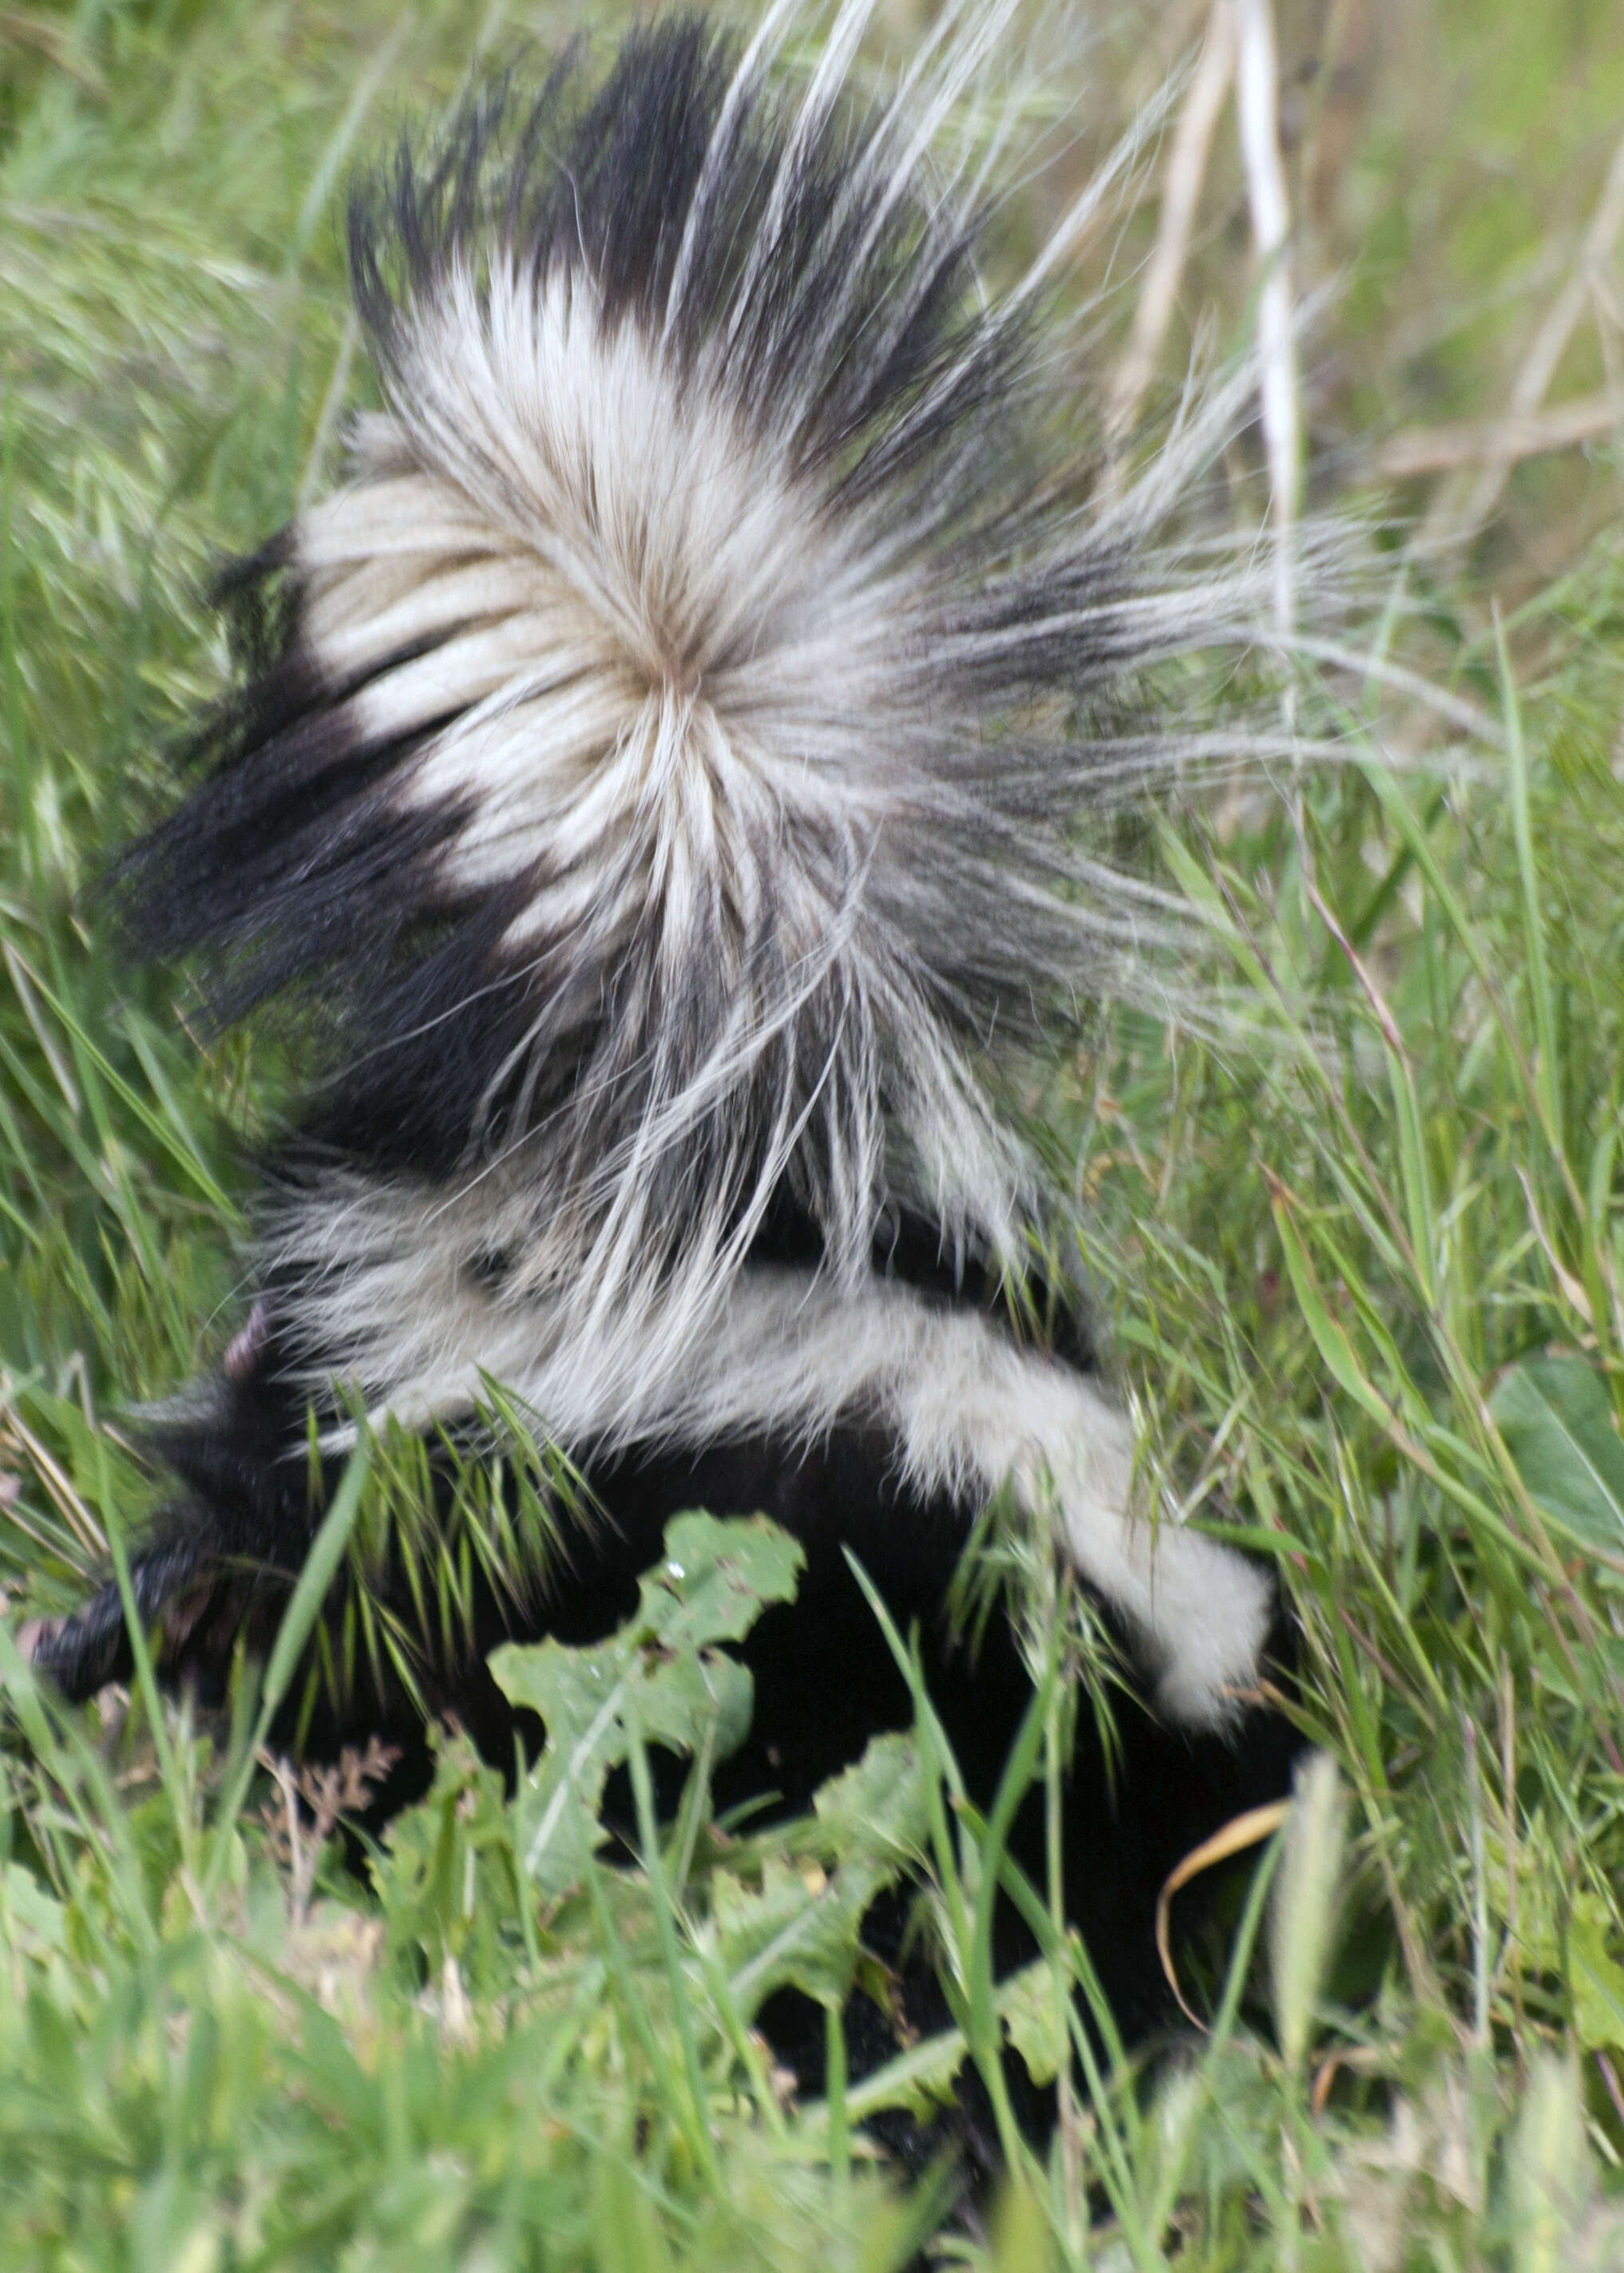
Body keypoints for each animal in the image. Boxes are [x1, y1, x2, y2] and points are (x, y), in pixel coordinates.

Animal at [38, 4, 1301, 2081]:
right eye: (1194, 1860)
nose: (1232, 1987)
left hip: (357, 1436)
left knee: (235, 1549)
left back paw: (94, 1650)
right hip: (498, 1501)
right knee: (337, 1642)